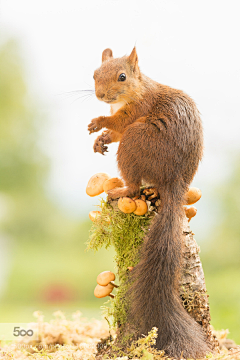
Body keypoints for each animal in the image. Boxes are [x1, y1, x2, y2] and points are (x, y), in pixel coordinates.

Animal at [88, 48, 210, 360]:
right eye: (94, 74)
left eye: (122, 76)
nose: (101, 96)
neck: (136, 90)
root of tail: (176, 181)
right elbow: (114, 132)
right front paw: (101, 139)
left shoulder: (138, 109)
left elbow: (120, 124)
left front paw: (99, 123)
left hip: (135, 142)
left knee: (133, 184)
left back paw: (120, 191)